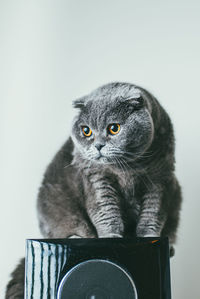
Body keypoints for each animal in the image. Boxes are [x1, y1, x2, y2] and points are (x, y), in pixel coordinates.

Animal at [5, 82, 182, 299]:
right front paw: (111, 237)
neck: (127, 168)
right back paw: (76, 237)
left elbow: (153, 213)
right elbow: (105, 210)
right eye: (86, 131)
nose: (98, 145)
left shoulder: (159, 179)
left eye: (114, 128)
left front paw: (149, 236)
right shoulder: (97, 178)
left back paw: (170, 248)